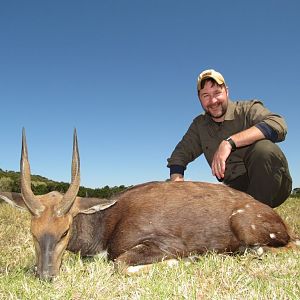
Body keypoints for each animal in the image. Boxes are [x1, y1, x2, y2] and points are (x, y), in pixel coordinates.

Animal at [0, 129, 298, 282]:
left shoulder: (164, 244)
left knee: (283, 247)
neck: (108, 222)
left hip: (246, 224)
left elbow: (120, 264)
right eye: (33, 233)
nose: (46, 275)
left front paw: (186, 261)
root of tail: (280, 221)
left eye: (64, 231)